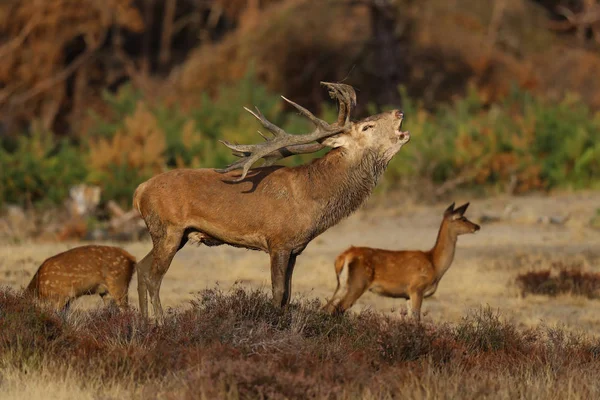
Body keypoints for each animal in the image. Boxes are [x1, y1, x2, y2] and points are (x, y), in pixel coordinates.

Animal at [134, 82, 410, 322]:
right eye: (367, 127)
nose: (399, 111)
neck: (312, 199)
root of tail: (139, 191)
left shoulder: (296, 248)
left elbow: (288, 294)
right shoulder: (278, 241)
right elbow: (278, 293)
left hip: (171, 234)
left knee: (141, 266)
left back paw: (143, 322)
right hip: (169, 229)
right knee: (154, 277)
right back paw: (160, 322)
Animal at [322, 202, 480, 320]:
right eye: (463, 218)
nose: (477, 226)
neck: (434, 263)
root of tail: (342, 257)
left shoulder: (407, 296)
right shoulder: (416, 288)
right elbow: (416, 320)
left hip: (342, 285)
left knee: (326, 307)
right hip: (357, 283)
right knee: (338, 309)